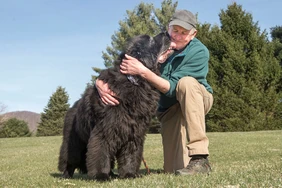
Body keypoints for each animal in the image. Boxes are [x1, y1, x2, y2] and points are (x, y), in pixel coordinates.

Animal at [57, 32, 172, 181]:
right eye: (150, 40)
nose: (167, 33)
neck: (134, 81)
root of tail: (74, 106)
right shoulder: (104, 130)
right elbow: (100, 152)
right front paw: (101, 175)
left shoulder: (134, 131)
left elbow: (131, 154)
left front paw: (129, 174)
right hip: (73, 142)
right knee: (69, 158)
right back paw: (66, 175)